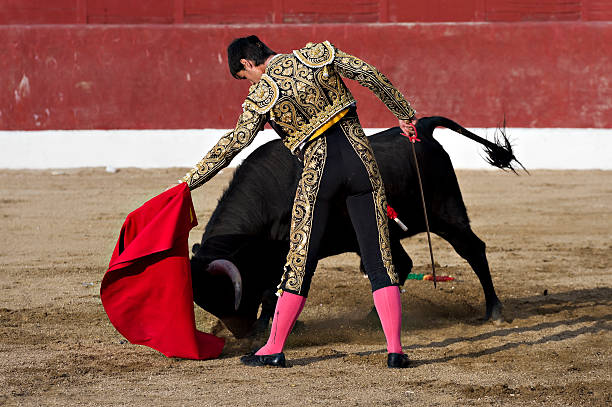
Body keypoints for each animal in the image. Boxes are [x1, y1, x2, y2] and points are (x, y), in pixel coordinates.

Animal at [190, 117, 520, 338]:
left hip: (446, 213)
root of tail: (421, 129)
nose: (240, 334)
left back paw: (494, 311)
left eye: (227, 296)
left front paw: (267, 328)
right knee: (401, 263)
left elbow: (273, 291)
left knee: (473, 249)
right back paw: (374, 317)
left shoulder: (289, 253)